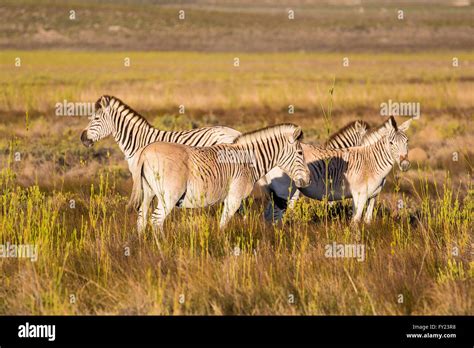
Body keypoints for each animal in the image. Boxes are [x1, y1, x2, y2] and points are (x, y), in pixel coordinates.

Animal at [128, 123, 312, 232]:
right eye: (300, 153)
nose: (308, 180)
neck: (248, 161)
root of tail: (145, 151)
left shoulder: (230, 198)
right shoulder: (234, 197)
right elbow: (223, 225)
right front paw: (223, 246)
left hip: (148, 192)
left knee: (141, 219)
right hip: (169, 196)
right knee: (156, 221)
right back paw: (162, 249)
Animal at [262, 117, 412, 224]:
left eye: (407, 141)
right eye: (391, 143)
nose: (404, 164)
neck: (370, 162)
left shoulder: (372, 196)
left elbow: (367, 220)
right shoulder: (358, 195)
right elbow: (354, 221)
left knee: (269, 215)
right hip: (286, 190)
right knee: (276, 217)